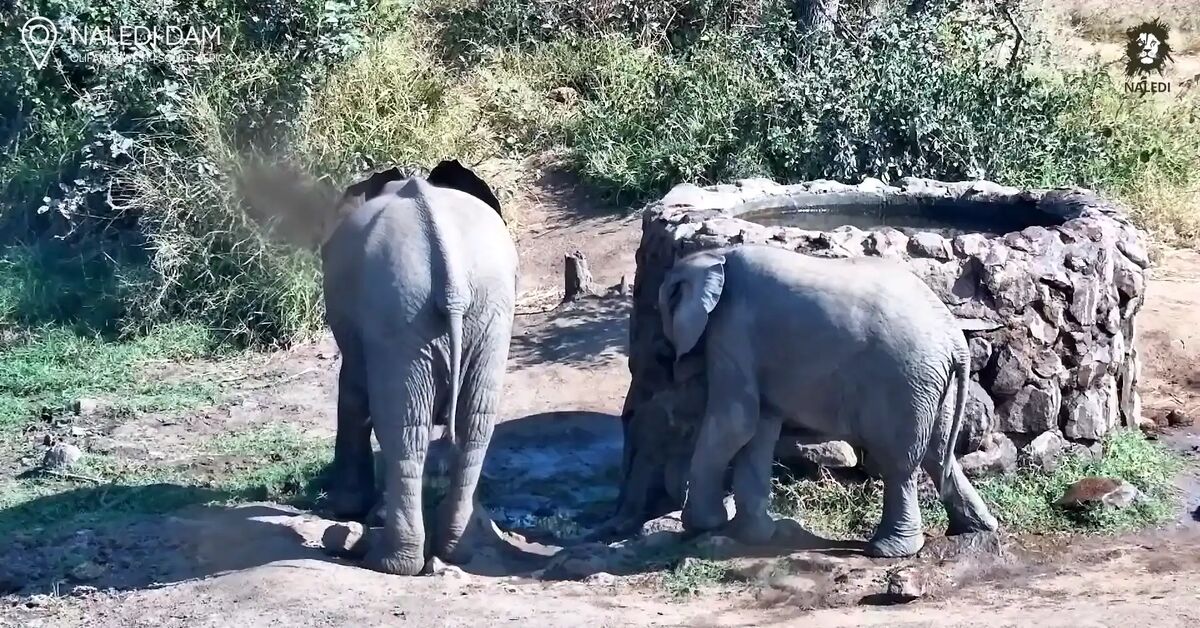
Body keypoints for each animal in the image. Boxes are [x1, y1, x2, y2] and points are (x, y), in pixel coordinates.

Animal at [320, 160, 518, 575]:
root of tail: (453, 281)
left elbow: (354, 394)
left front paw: (346, 508)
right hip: (489, 310)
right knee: (476, 422)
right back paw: (457, 549)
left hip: (399, 309)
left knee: (403, 427)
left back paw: (388, 562)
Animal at [657, 244, 998, 558]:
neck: (716, 255)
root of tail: (955, 338)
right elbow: (759, 429)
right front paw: (751, 536)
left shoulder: (732, 330)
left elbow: (735, 423)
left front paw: (702, 525)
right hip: (934, 382)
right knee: (937, 454)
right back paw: (976, 528)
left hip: (906, 378)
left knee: (899, 462)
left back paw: (888, 550)